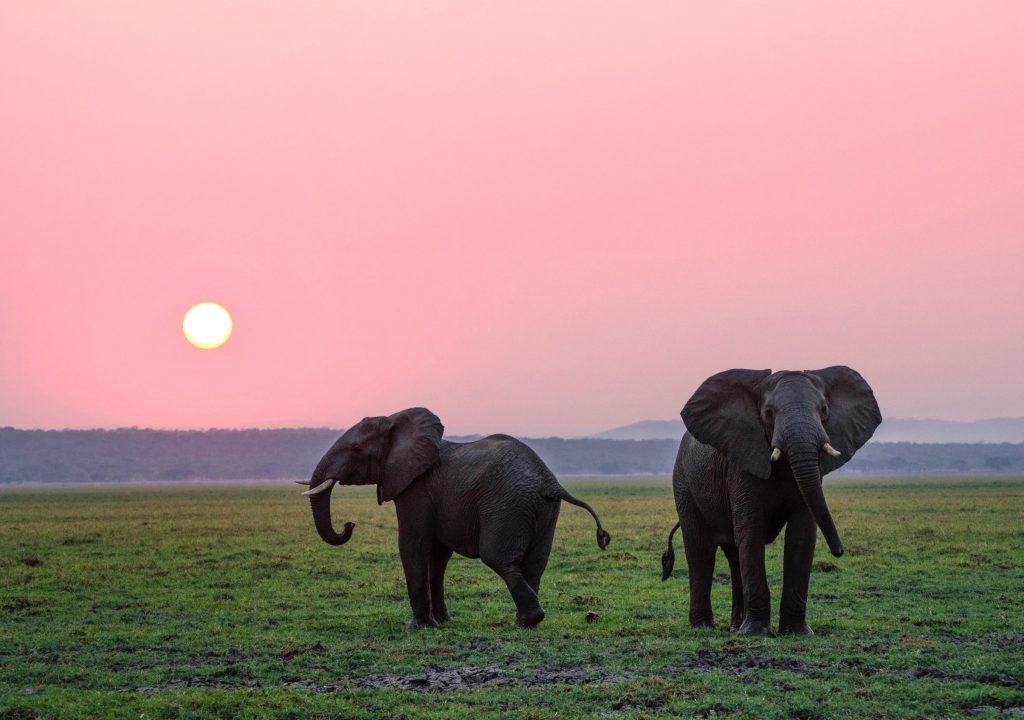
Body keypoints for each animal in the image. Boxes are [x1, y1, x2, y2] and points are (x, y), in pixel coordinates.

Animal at [299, 407, 610, 626]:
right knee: (535, 563)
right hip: (543, 509)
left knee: (499, 558)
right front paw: (443, 622)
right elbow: (438, 556)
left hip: (507, 505)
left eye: (355, 450)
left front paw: (420, 626)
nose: (349, 524)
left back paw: (527, 621)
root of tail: (549, 481)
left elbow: (413, 543)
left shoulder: (417, 488)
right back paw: (524, 621)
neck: (395, 420)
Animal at [659, 368, 884, 634]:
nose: (839, 551)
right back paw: (704, 627)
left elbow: (801, 536)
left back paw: (736, 626)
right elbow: (751, 532)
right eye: (768, 412)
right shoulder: (742, 462)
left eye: (824, 409)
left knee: (734, 555)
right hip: (684, 484)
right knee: (701, 550)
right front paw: (757, 634)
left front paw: (797, 632)